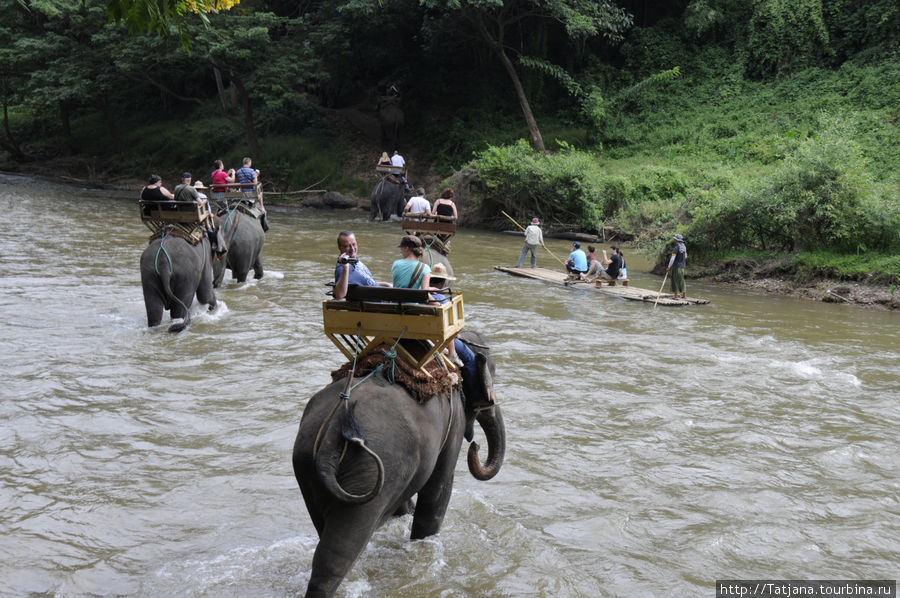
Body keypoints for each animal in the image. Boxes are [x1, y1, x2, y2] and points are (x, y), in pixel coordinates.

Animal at [296, 330, 506, 596]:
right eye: (494, 372)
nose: (475, 446)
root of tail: (337, 422)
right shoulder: (454, 420)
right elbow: (437, 489)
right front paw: (424, 542)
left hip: (308, 464)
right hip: (370, 472)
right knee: (338, 553)